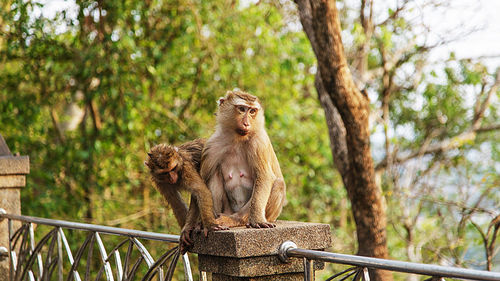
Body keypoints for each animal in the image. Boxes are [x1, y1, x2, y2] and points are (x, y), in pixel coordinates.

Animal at [200, 90, 286, 228]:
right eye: (241, 109)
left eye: (252, 111)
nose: (246, 123)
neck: (236, 138)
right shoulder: (212, 145)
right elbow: (202, 182)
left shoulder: (258, 142)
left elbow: (264, 177)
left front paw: (257, 220)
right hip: (228, 209)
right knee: (214, 174)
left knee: (278, 183)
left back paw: (237, 220)